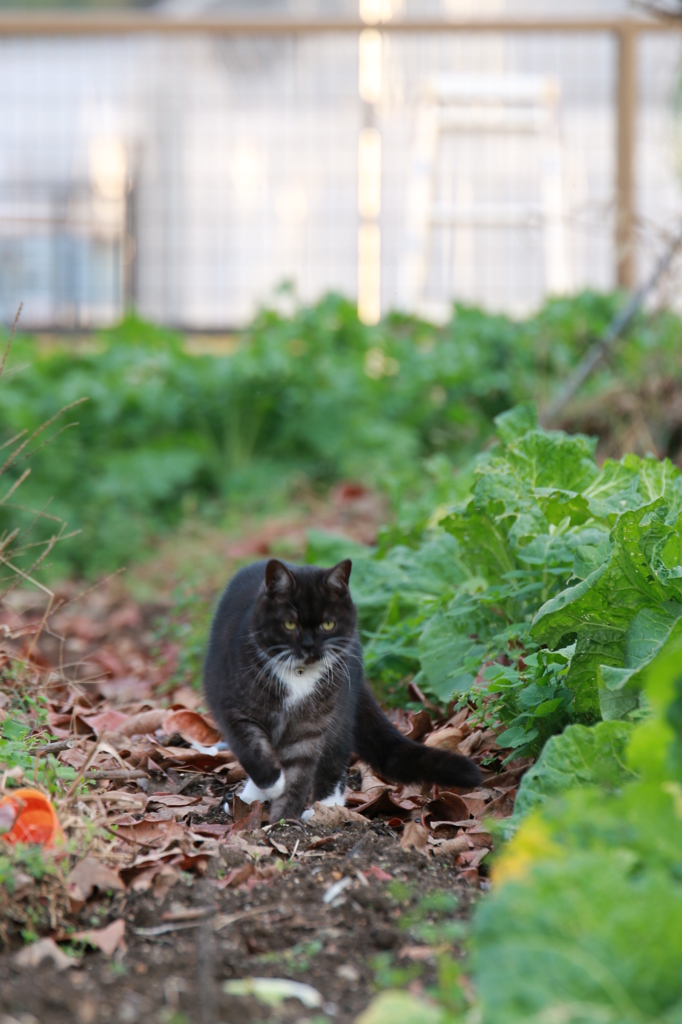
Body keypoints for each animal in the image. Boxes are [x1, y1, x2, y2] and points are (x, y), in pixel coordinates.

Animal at [201, 557, 477, 819]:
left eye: (327, 625)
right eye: (290, 625)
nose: (309, 646)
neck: (298, 675)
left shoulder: (311, 727)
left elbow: (300, 771)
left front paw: (284, 819)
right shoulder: (233, 710)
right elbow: (252, 749)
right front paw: (273, 788)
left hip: (341, 706)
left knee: (335, 756)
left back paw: (326, 807)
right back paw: (252, 797)